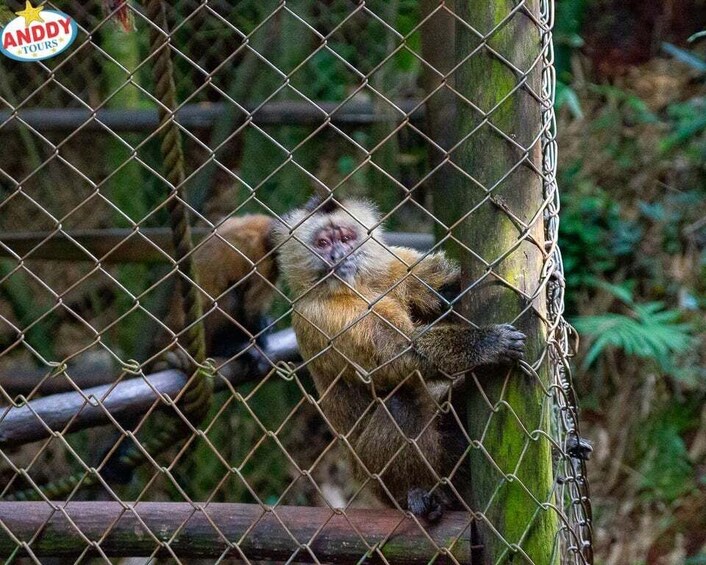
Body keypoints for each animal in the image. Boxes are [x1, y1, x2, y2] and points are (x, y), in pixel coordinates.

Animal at [271, 197, 526, 521]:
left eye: (346, 238)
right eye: (323, 243)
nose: (339, 255)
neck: (361, 286)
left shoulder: (394, 266)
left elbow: (439, 293)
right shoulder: (321, 314)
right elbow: (399, 355)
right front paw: (484, 343)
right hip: (376, 480)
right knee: (401, 403)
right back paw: (419, 495)